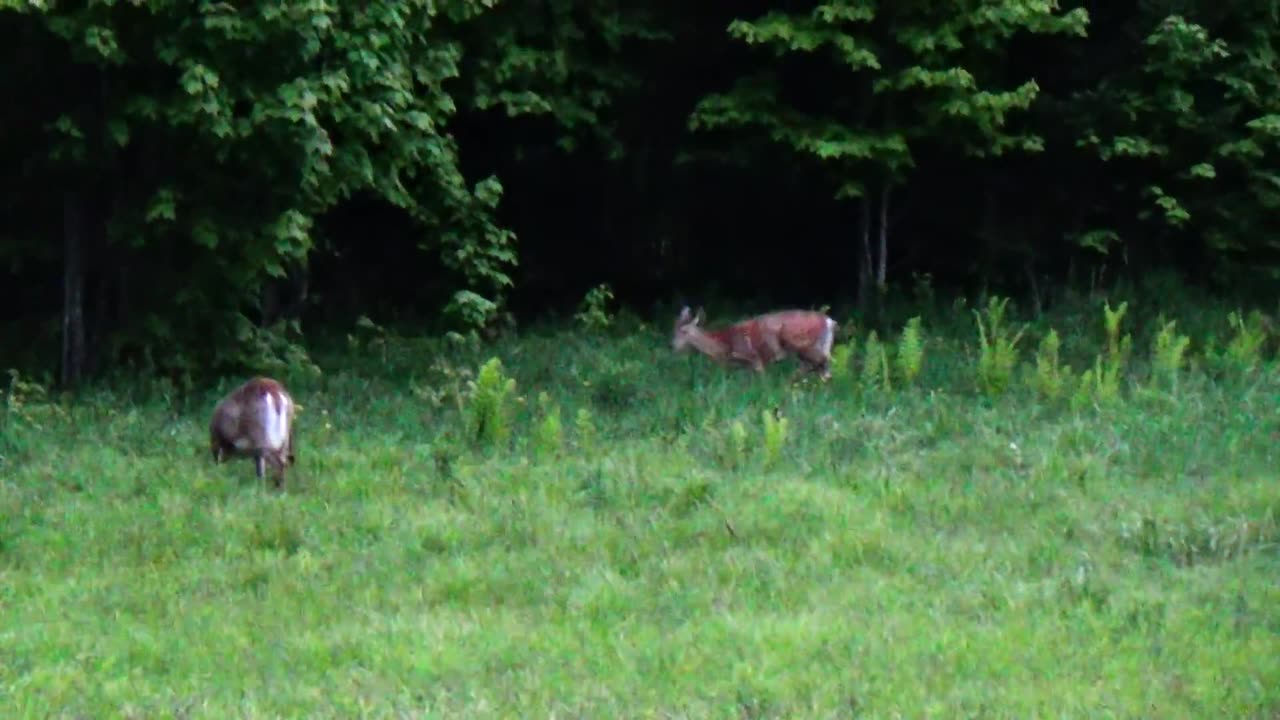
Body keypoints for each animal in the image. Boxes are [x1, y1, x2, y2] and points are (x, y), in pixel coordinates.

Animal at [670, 303, 839, 379]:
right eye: (674, 329)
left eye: (683, 331)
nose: (673, 346)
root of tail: (829, 322)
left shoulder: (754, 358)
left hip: (806, 345)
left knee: (824, 366)